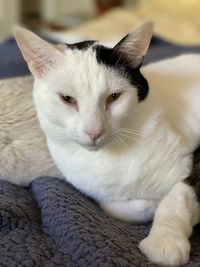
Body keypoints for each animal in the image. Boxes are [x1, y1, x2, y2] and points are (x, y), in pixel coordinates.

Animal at [5, 22, 200, 266]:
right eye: (67, 99)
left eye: (114, 97)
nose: (94, 131)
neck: (112, 156)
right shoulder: (96, 190)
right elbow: (114, 207)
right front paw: (150, 206)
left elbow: (178, 195)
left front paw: (164, 240)